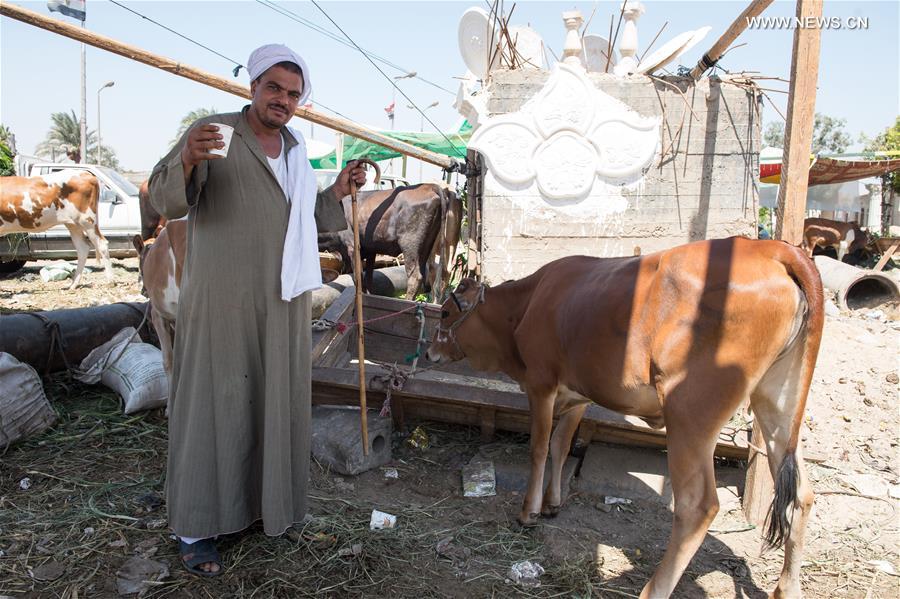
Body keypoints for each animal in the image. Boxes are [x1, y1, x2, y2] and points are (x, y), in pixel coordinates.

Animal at [426, 237, 828, 596]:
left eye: (445, 313)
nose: (429, 352)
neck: (527, 304)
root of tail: (770, 248)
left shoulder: (540, 384)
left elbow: (539, 447)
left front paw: (529, 511)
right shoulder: (578, 393)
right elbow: (560, 445)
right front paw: (553, 503)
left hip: (690, 411)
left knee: (697, 506)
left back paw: (653, 589)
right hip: (775, 402)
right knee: (801, 494)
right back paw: (786, 588)